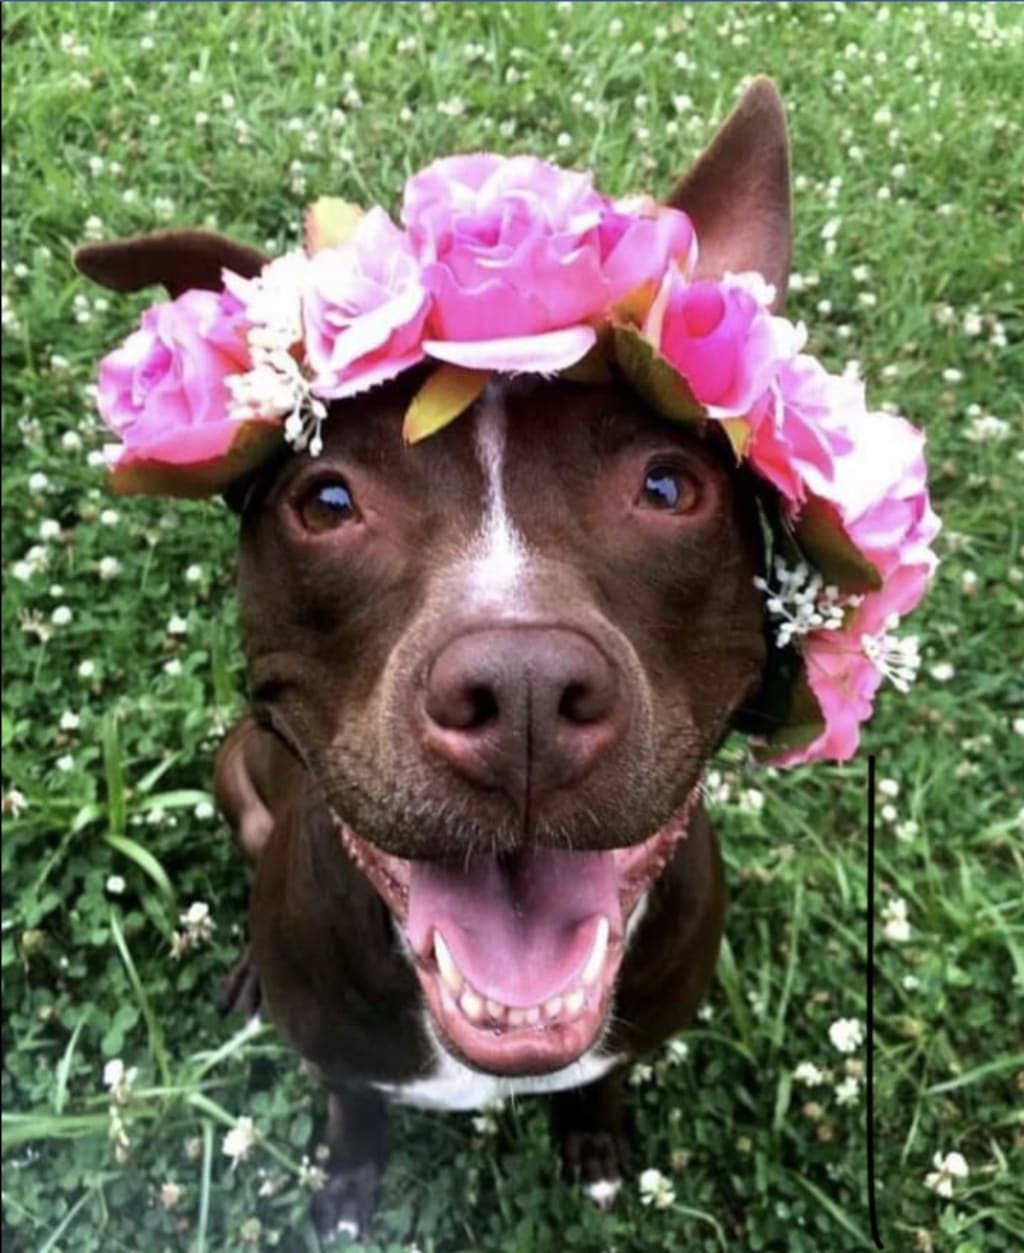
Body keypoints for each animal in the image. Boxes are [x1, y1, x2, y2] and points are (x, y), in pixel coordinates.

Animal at [77, 80, 792, 1240]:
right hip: (236, 773)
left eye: (667, 486)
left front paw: (595, 1143)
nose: (525, 693)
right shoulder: (342, 1057)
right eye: (327, 500)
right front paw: (345, 1187)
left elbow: (599, 1079)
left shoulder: (626, 1039)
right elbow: (353, 1105)